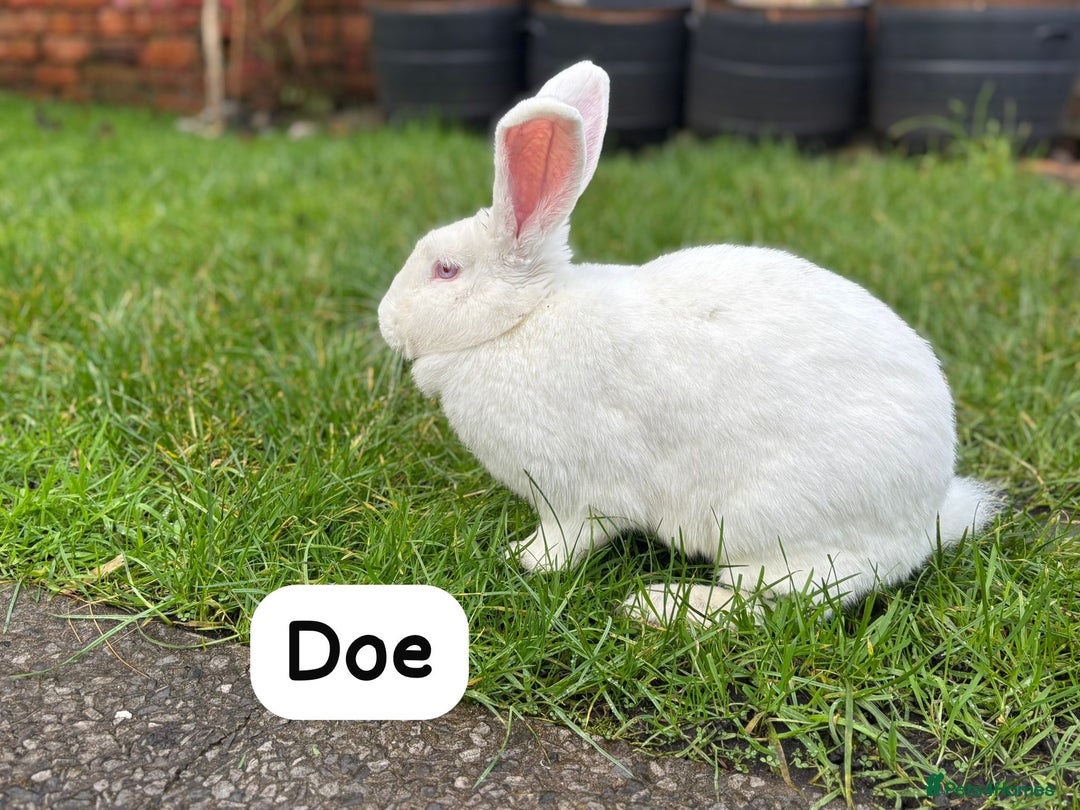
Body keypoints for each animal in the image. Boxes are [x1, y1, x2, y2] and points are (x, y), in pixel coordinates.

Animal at [377, 61, 1001, 625]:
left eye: (446, 270)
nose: (386, 320)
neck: (519, 321)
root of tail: (921, 524)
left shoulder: (575, 493)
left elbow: (568, 540)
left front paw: (523, 560)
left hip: (765, 524)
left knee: (781, 600)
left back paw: (660, 606)